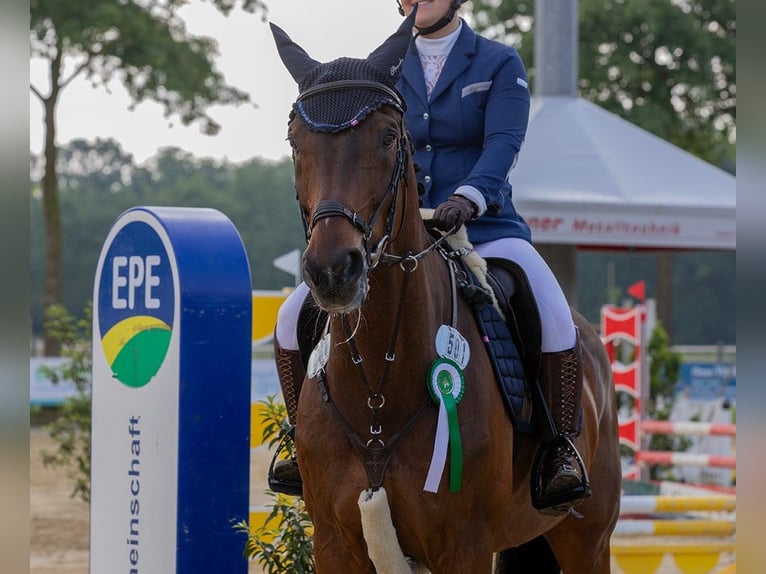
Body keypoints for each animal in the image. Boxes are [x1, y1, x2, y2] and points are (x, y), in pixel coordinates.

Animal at [272, 11, 620, 572]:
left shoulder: (464, 545)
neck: (379, 391)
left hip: (586, 536)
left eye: (388, 137)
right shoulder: (335, 541)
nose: (332, 270)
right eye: (296, 141)